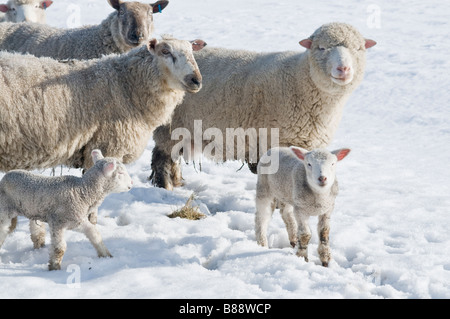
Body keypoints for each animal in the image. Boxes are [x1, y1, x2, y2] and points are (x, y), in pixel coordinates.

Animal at [0, 149, 133, 270]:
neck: (82, 191)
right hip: (4, 209)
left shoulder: (77, 219)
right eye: (120, 173)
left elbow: (94, 233)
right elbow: (60, 248)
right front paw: (54, 268)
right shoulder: (57, 222)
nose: (131, 183)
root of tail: (6, 176)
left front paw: (106, 255)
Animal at [149, 23, 376, 191]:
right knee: (162, 158)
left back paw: (177, 182)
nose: (343, 69)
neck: (301, 79)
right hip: (169, 126)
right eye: (321, 48)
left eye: (359, 49)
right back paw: (166, 186)